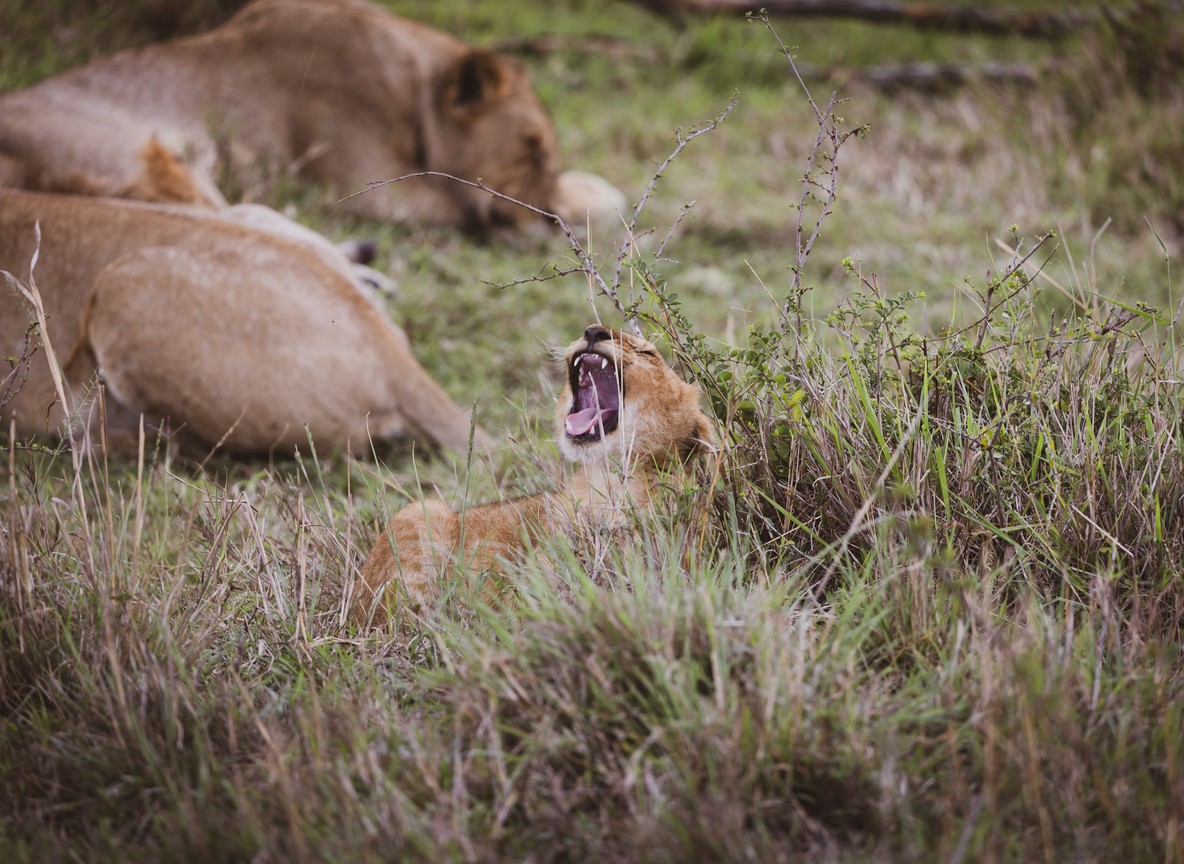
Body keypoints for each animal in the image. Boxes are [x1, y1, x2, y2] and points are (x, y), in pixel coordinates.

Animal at [0, 0, 623, 229]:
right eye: (530, 149)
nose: (550, 221)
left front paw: (595, 192)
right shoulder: (375, 192)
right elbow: (462, 202)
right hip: (137, 157)